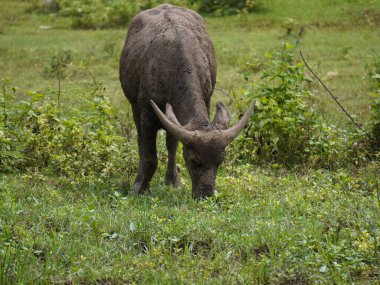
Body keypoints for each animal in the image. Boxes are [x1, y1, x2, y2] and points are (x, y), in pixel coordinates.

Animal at [120, 3, 254, 197]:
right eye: (193, 160)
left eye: (220, 161)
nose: (206, 194)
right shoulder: (146, 113)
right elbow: (149, 157)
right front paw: (140, 188)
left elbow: (173, 143)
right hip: (134, 106)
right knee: (140, 142)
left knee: (171, 143)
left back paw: (172, 179)